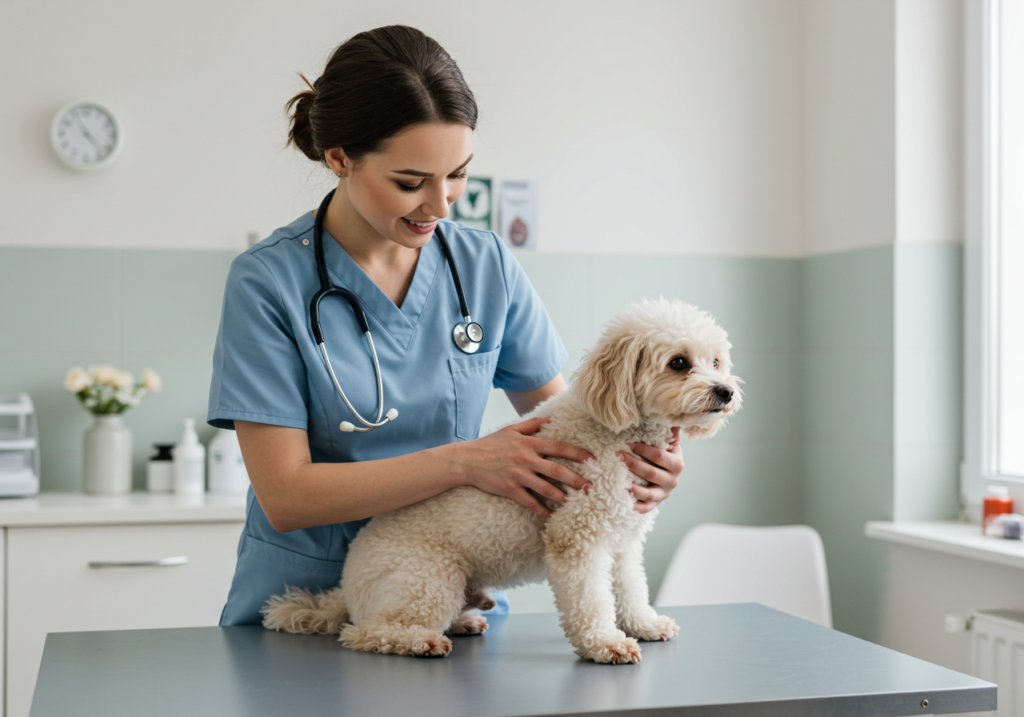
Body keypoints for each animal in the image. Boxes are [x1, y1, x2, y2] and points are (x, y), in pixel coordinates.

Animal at [262, 294, 745, 659]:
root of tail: (345, 586)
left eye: (716, 361)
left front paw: (642, 624)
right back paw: (419, 641)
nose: (725, 391)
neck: (614, 430)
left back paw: (463, 622)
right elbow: (591, 600)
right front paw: (604, 643)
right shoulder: (578, 537)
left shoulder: (622, 539)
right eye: (679, 362)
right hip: (430, 579)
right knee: (363, 633)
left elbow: (629, 587)